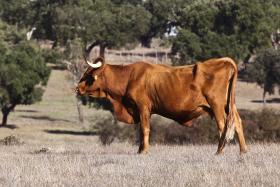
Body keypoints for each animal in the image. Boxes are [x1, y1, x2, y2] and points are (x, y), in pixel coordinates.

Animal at [76, 56, 247, 155]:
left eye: (88, 75)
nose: (77, 88)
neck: (130, 77)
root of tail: (223, 61)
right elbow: (140, 131)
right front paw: (139, 150)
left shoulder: (143, 107)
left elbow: (144, 129)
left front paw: (144, 151)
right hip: (229, 105)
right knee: (237, 123)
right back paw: (243, 151)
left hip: (217, 105)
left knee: (223, 126)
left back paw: (219, 151)